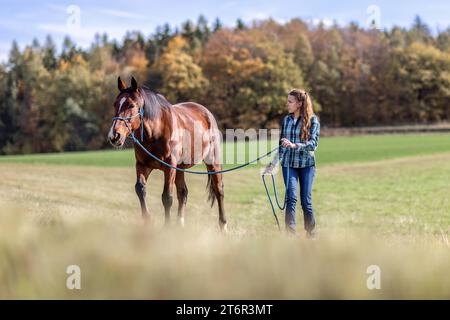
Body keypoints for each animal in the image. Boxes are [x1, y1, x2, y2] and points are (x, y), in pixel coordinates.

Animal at [107, 76, 227, 231]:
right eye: (115, 104)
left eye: (131, 105)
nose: (114, 136)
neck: (155, 132)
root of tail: (206, 112)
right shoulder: (142, 165)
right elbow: (140, 189)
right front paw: (147, 221)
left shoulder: (169, 167)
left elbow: (167, 197)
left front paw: (167, 227)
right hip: (180, 168)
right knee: (183, 192)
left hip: (212, 161)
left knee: (219, 190)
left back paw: (223, 225)